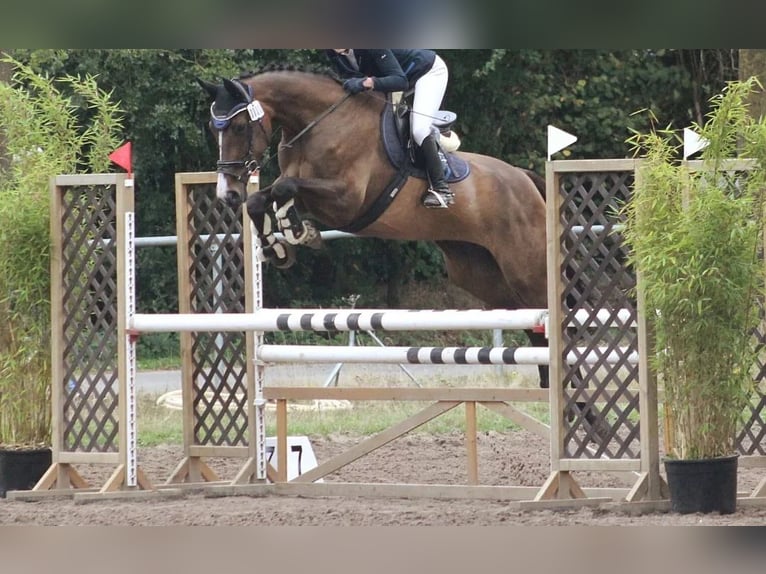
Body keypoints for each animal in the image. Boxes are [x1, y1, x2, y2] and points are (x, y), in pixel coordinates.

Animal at [196, 68, 552, 388]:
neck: (318, 124)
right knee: (530, 322)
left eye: (238, 126)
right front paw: (280, 246)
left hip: (525, 268)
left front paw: (297, 231)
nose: (227, 193)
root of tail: (523, 178)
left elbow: (286, 188)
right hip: (480, 273)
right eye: (214, 130)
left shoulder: (346, 201)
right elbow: (262, 199)